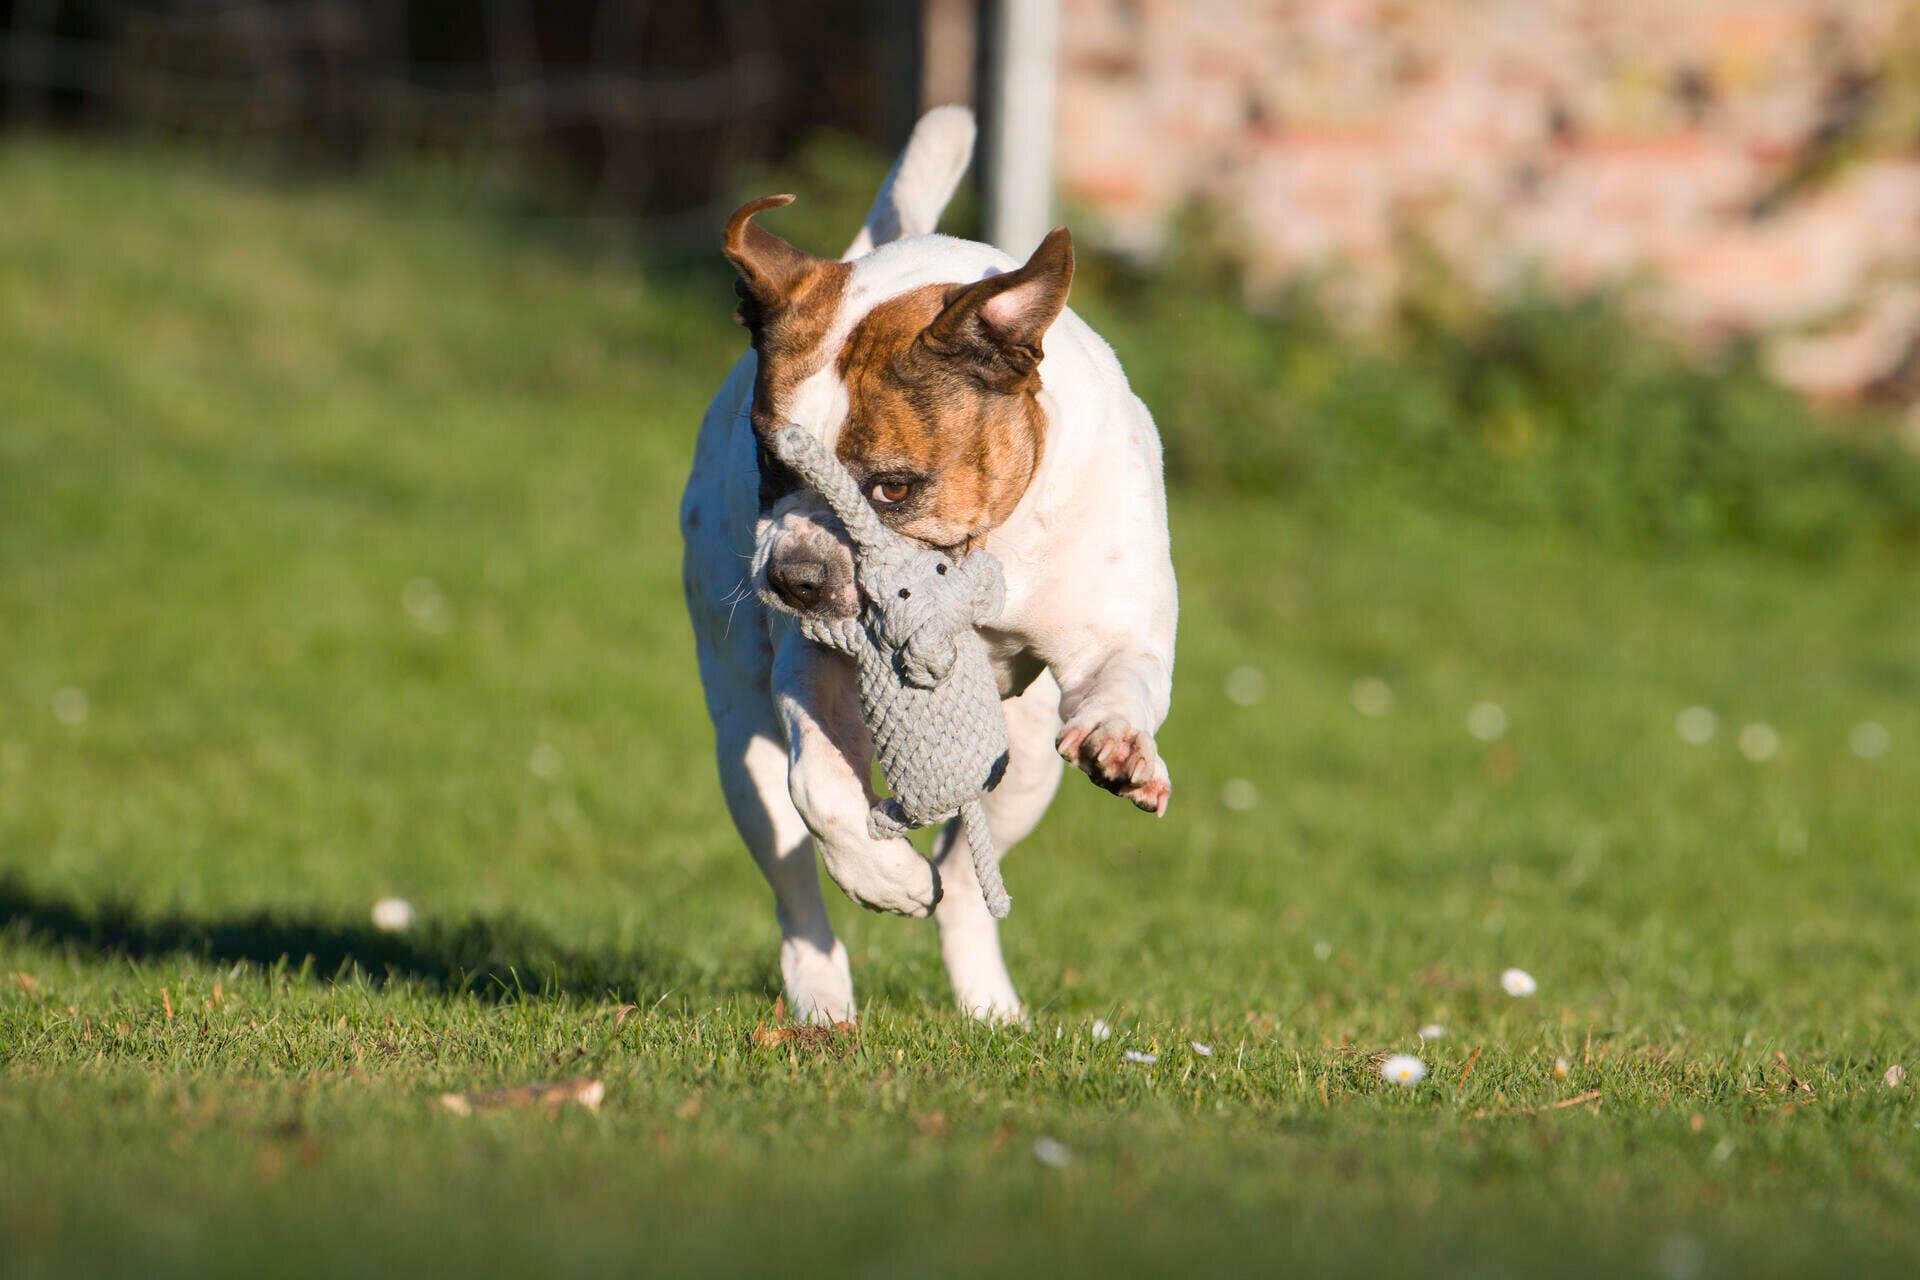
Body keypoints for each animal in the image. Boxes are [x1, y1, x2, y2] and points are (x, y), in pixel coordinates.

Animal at [683, 107, 1175, 1028]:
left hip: (1022, 765)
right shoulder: (813, 668)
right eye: (771, 460)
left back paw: (989, 1005)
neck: (988, 553)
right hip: (737, 740)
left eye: (893, 487)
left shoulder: (1109, 628)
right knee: (792, 870)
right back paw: (823, 998)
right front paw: (885, 881)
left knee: (968, 886)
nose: (793, 578)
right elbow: (821, 788)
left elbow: (1121, 677)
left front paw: (1122, 747)